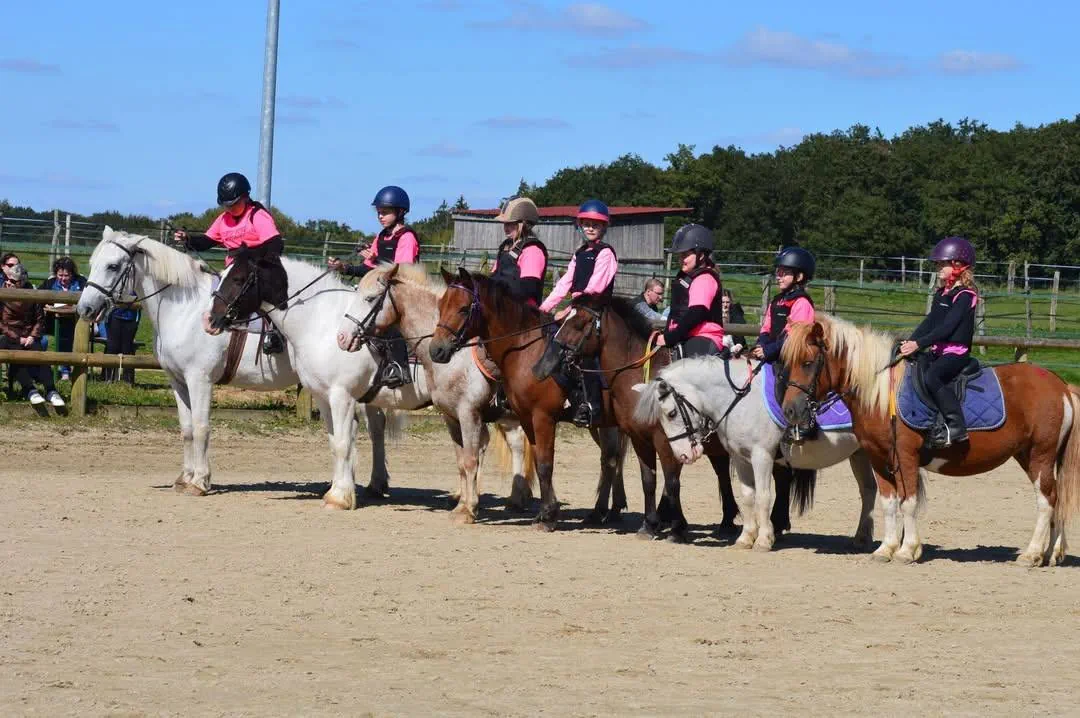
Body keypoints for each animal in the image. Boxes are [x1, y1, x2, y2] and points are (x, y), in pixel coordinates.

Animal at [76, 227, 398, 497]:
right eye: (93, 262)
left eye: (113, 266)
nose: (85, 309)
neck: (185, 310)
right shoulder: (177, 381)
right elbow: (186, 429)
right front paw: (184, 478)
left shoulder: (199, 379)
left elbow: (201, 427)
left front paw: (200, 481)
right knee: (373, 427)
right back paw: (371, 483)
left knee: (372, 428)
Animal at [204, 245, 438, 510]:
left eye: (238, 278)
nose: (210, 320)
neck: (322, 324)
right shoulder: (323, 397)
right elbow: (335, 444)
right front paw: (337, 491)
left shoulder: (342, 397)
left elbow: (344, 444)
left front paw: (340, 498)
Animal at [334, 263, 628, 524]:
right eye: (441, 307)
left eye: (370, 298)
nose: (343, 338)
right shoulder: (452, 417)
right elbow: (462, 462)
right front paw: (463, 504)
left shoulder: (470, 414)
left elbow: (471, 459)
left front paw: (468, 509)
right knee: (608, 459)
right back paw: (605, 509)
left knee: (610, 459)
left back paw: (603, 511)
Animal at [632, 355, 879, 551]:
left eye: (671, 413)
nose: (683, 455)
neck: (740, 400)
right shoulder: (740, 458)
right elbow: (748, 496)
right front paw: (745, 538)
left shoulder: (762, 457)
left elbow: (763, 496)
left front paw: (764, 540)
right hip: (860, 454)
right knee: (868, 490)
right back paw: (862, 538)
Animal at [780, 315, 1080, 566]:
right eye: (787, 364)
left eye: (808, 362)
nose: (790, 411)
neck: (881, 392)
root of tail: (1061, 386)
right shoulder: (878, 458)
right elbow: (889, 503)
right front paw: (885, 549)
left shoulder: (905, 455)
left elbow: (909, 501)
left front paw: (907, 551)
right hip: (1029, 456)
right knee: (1056, 500)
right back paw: (1052, 553)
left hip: (1040, 455)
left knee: (1046, 501)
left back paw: (1032, 554)